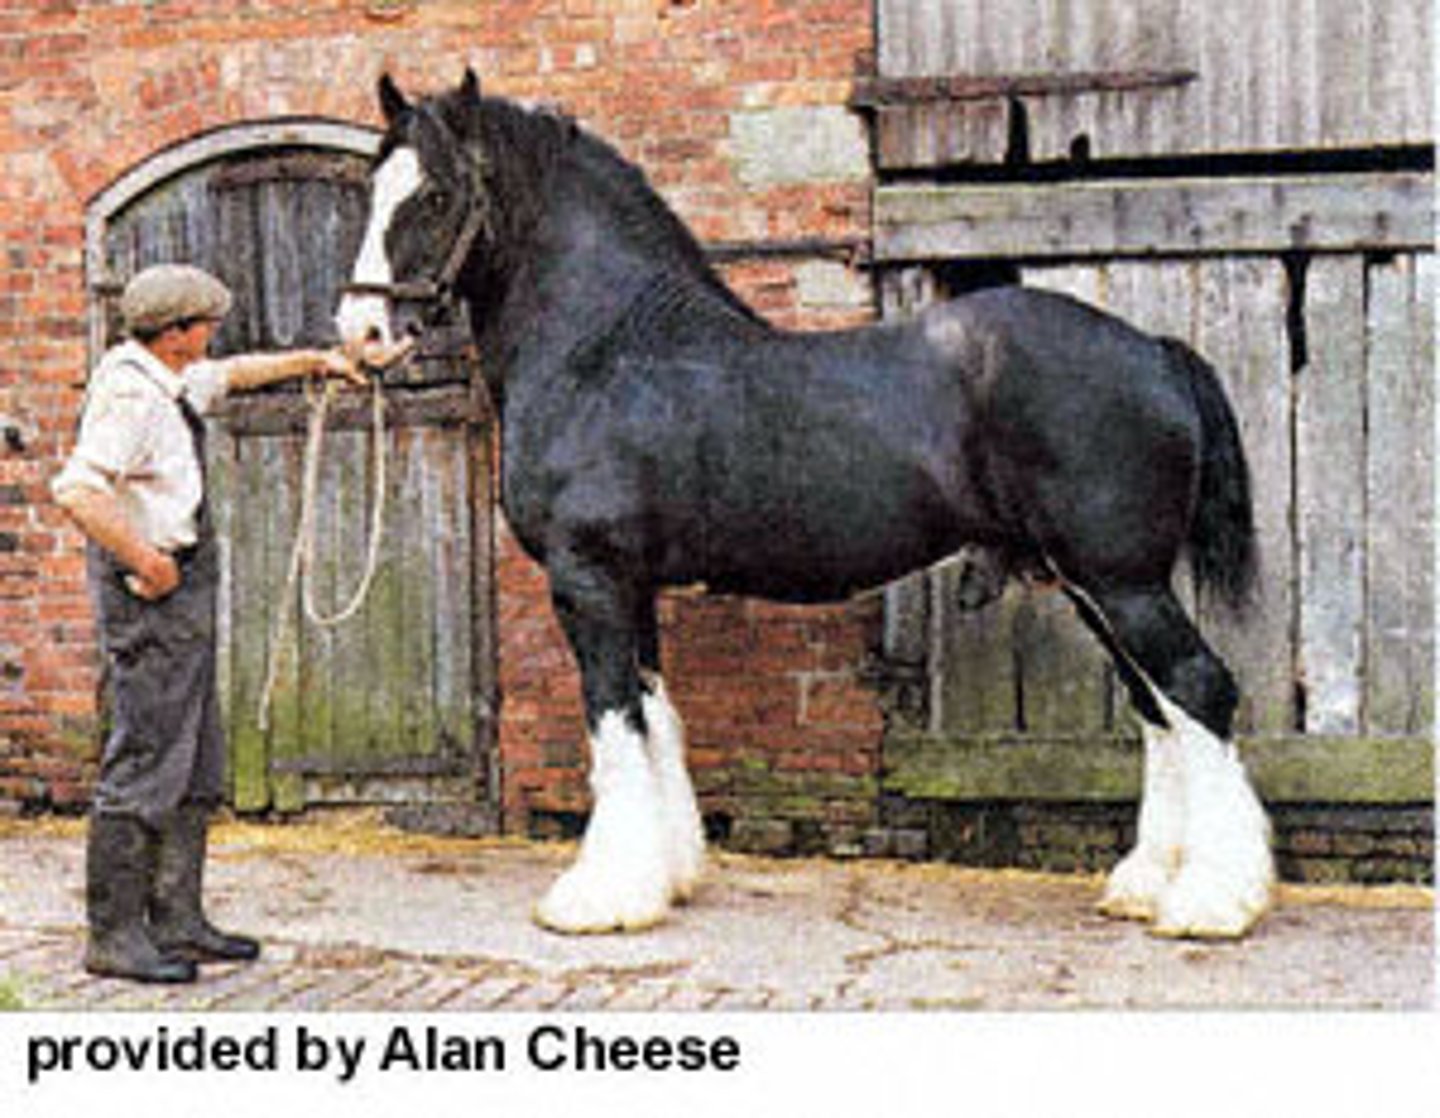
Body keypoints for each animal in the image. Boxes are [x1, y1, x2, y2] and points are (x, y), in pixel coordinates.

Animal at [336, 70, 1275, 940]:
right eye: (374, 186)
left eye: (436, 194)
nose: (362, 334)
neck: (606, 349)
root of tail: (1152, 349)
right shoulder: (632, 587)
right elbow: (654, 716)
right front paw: (669, 875)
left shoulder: (589, 578)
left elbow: (614, 725)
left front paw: (600, 896)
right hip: (1092, 586)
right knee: (1158, 707)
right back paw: (1146, 883)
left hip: (1121, 582)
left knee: (1198, 688)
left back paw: (1212, 901)